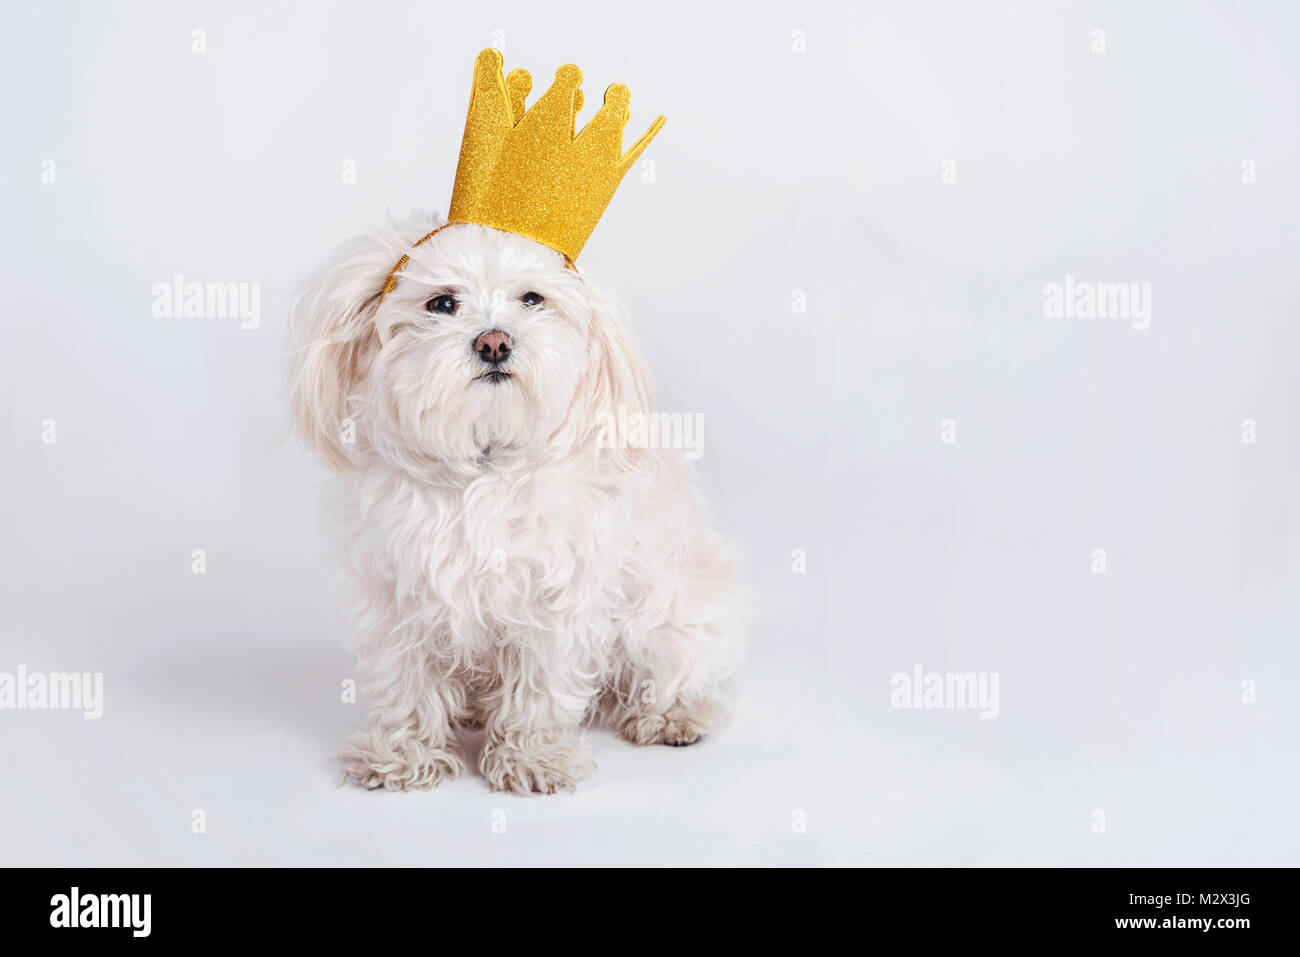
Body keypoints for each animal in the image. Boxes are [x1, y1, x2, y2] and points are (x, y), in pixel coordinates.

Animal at [289, 213, 748, 795]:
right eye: (442, 303)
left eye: (532, 298)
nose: (494, 342)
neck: (482, 464)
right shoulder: (396, 594)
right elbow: (406, 683)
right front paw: (405, 755)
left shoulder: (557, 599)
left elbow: (540, 688)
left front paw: (532, 758)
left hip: (670, 621)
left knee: (680, 671)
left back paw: (673, 716)